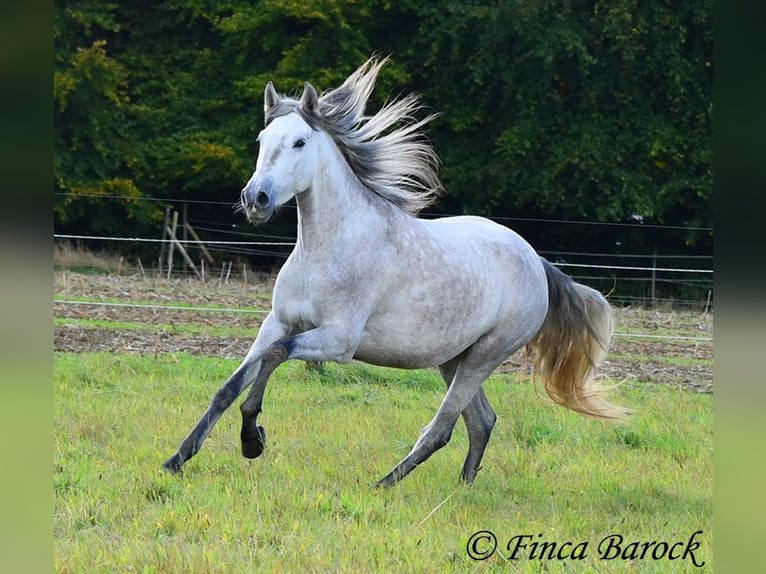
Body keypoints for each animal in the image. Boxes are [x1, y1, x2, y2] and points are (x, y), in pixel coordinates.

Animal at [164, 56, 632, 488]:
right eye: (262, 139)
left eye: (299, 141)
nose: (255, 199)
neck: (325, 250)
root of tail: (536, 262)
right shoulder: (277, 322)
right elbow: (232, 384)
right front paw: (177, 460)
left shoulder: (338, 341)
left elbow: (274, 359)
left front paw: (252, 439)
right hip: (455, 358)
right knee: (481, 421)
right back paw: (462, 487)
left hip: (484, 356)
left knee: (442, 427)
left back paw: (384, 484)